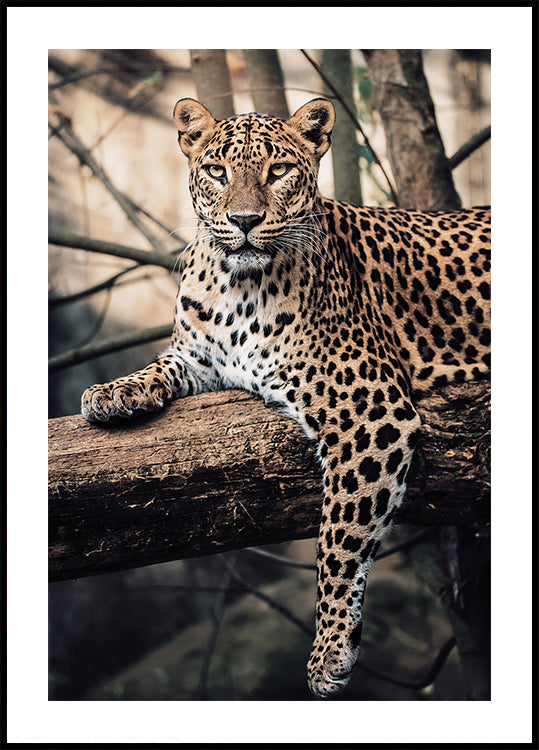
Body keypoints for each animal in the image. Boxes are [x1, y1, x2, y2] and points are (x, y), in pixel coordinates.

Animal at [81, 97, 491, 698]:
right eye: (216, 172)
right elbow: (162, 363)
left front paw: (331, 649)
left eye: (278, 172)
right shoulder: (199, 358)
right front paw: (110, 392)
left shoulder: (370, 413)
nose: (244, 221)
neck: (236, 287)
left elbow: (340, 537)